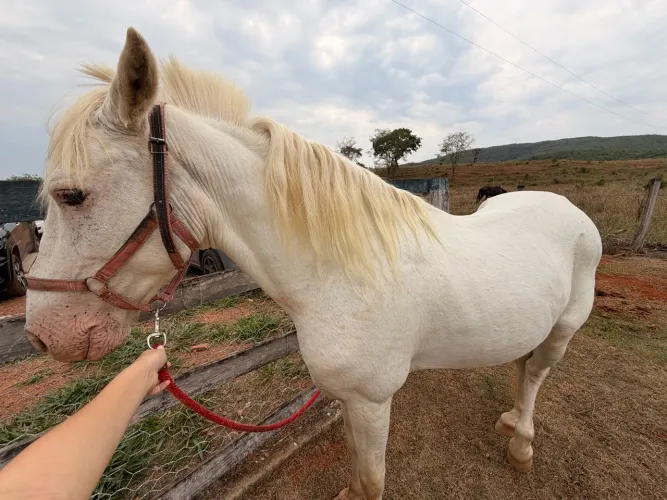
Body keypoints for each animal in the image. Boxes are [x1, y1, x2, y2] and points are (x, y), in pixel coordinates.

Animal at [25, 28, 602, 500]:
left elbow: (372, 483)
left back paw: (521, 443)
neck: (341, 277)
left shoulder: (372, 401)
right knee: (523, 367)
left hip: (563, 330)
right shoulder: (349, 400)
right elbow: (356, 474)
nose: (41, 335)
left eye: (71, 195)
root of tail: (569, 209)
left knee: (536, 376)